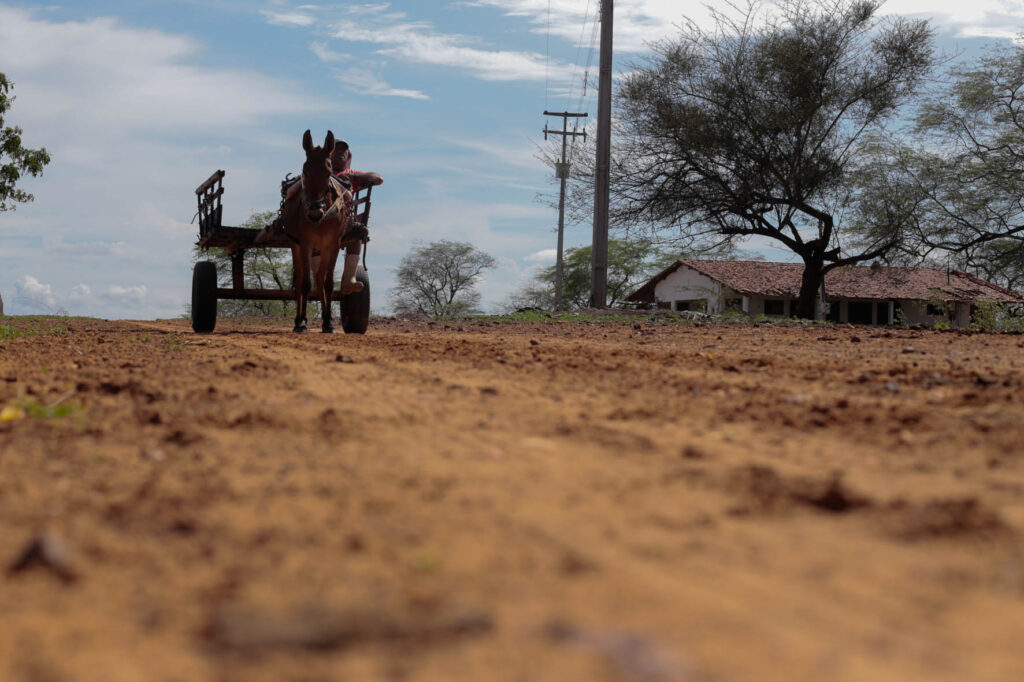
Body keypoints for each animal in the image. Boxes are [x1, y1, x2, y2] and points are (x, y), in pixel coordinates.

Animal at [280, 130, 350, 333]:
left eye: (328, 172)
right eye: (305, 170)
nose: (314, 212)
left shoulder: (332, 245)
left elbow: (327, 283)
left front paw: (328, 323)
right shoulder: (305, 244)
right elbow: (305, 284)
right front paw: (302, 322)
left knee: (319, 279)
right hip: (296, 246)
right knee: (300, 280)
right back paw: (298, 320)